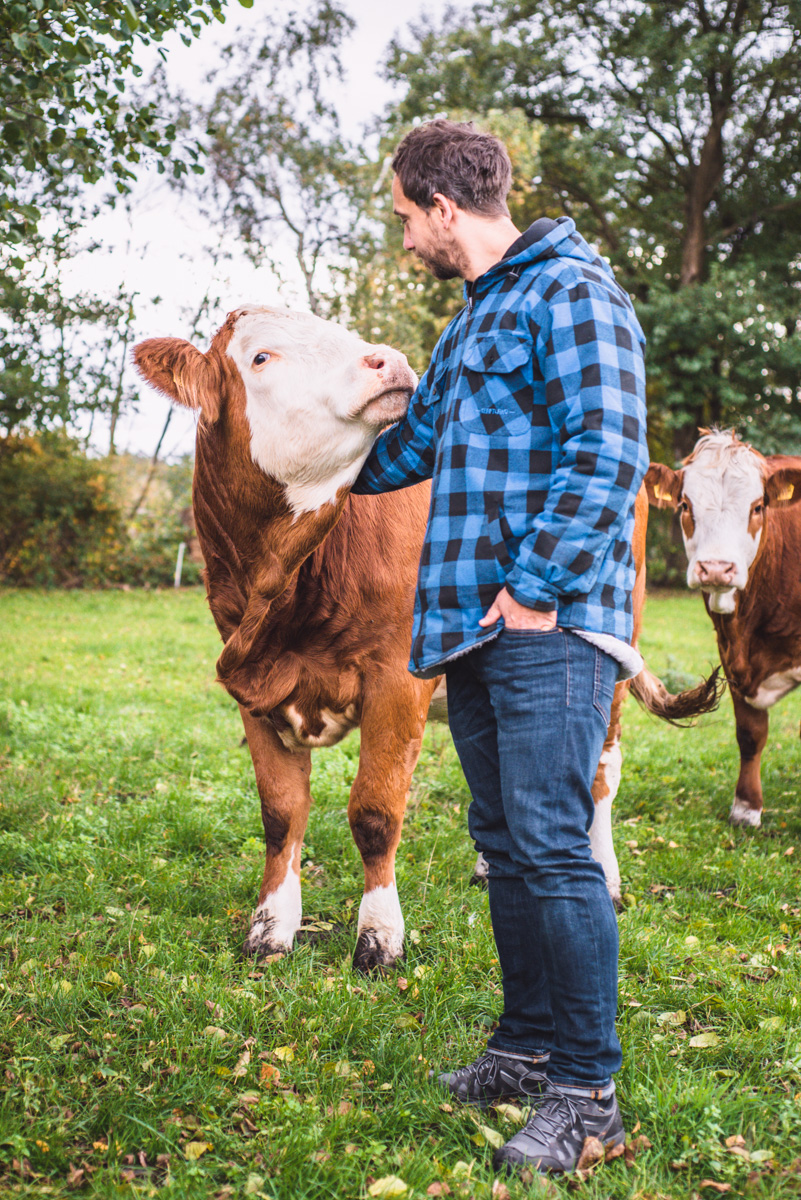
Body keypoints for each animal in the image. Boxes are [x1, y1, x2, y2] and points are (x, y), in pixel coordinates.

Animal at [134, 305, 719, 969]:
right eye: (260, 357)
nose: (387, 359)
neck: (280, 597)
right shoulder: (253, 685)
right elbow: (280, 815)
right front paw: (270, 926)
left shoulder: (394, 677)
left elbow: (375, 812)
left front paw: (379, 936)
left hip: (615, 643)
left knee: (602, 772)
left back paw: (611, 879)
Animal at [645, 428, 801, 827]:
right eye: (686, 506)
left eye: (758, 507)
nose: (716, 568)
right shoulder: (729, 653)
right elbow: (750, 733)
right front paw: (746, 807)